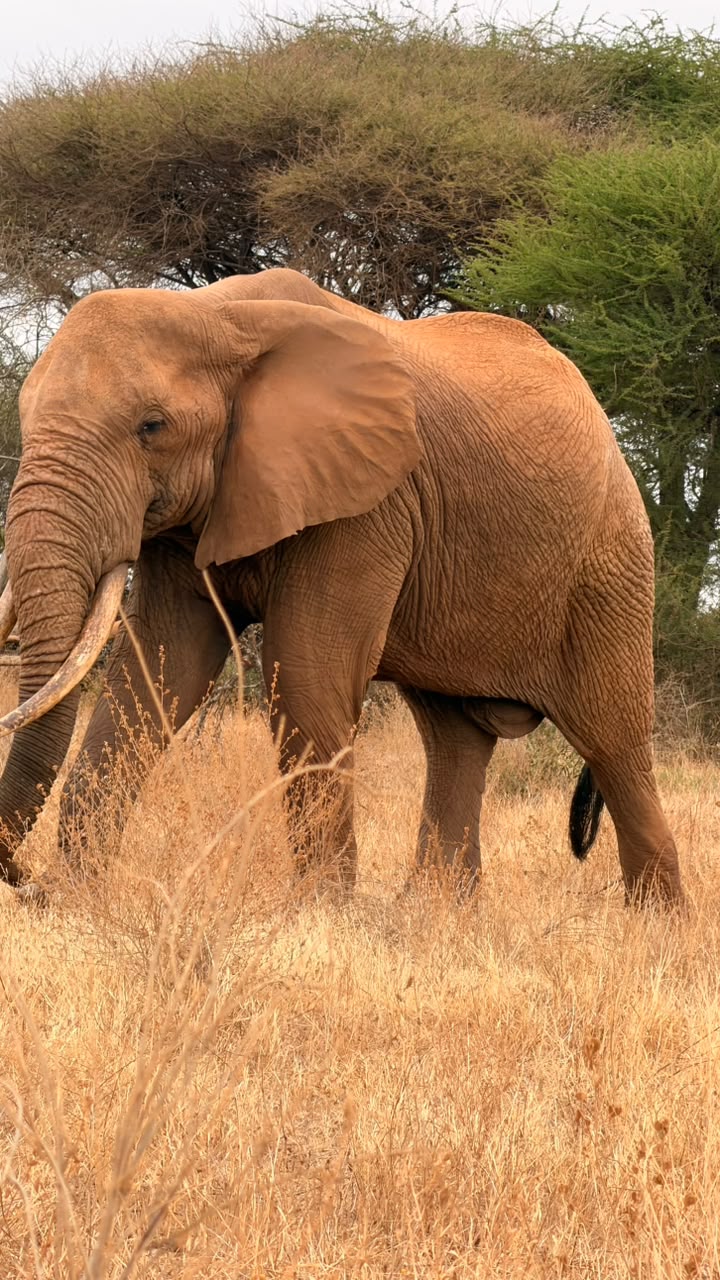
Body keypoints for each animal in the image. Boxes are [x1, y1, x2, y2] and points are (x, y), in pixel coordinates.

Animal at [0, 267, 682, 905]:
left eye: (152, 426)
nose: (29, 885)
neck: (218, 316)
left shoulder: (368, 503)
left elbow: (305, 675)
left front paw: (318, 912)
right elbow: (158, 673)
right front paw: (82, 893)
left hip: (609, 565)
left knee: (614, 741)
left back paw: (655, 925)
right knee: (454, 739)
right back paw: (432, 915)